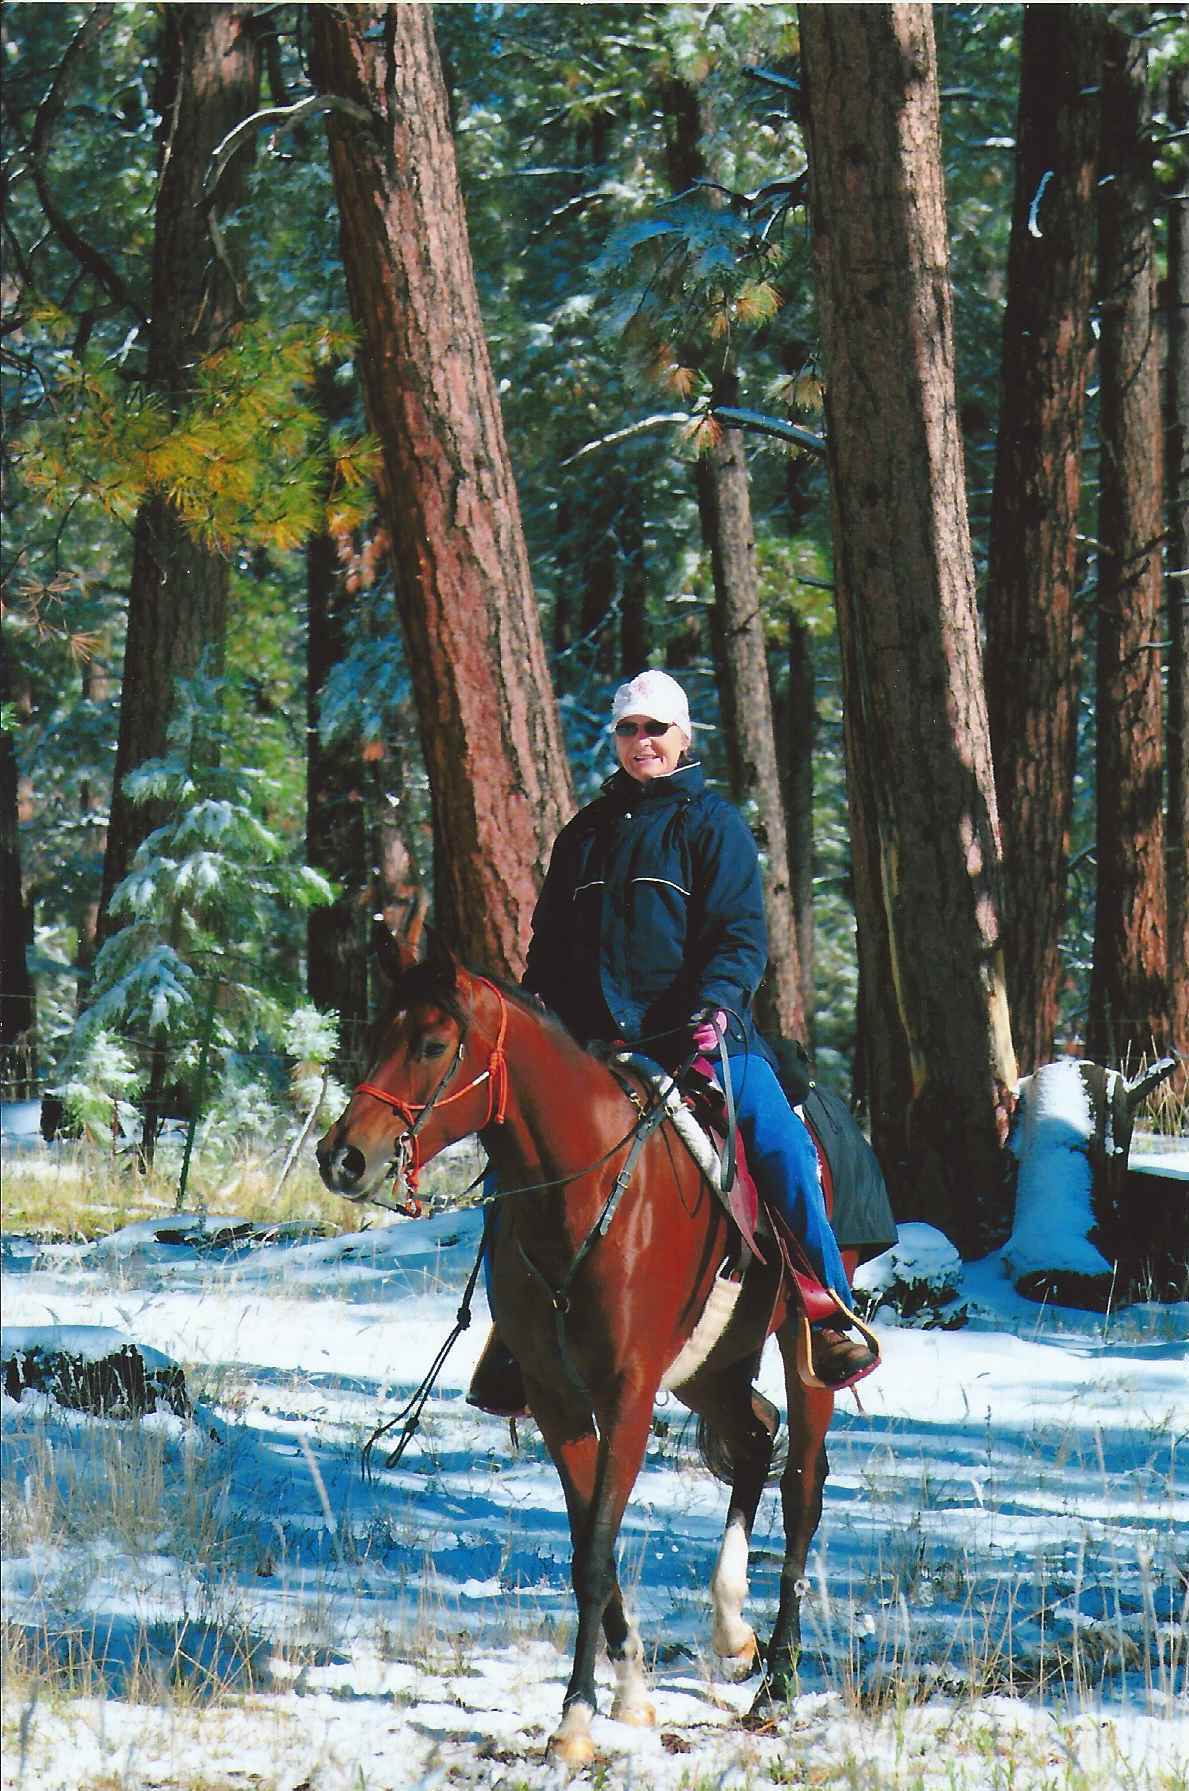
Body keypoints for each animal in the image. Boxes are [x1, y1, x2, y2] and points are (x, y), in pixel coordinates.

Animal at [318, 938, 845, 1762]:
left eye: (432, 1045)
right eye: (376, 1037)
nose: (342, 1157)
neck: (585, 1190)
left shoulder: (627, 1393)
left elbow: (596, 1551)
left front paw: (574, 1721)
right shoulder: (556, 1397)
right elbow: (586, 1545)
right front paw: (627, 1694)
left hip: (802, 1354)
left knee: (801, 1488)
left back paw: (779, 1682)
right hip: (707, 1364)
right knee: (756, 1437)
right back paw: (734, 1632)